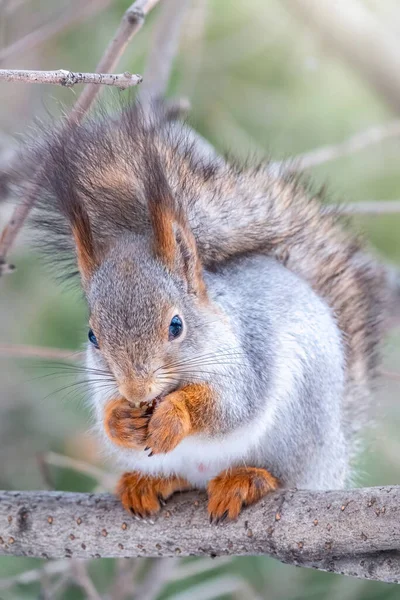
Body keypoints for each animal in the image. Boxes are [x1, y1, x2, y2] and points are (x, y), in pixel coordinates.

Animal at [21, 103, 384, 520]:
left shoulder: (248, 360)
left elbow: (228, 407)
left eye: (176, 325)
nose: (136, 390)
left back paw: (247, 479)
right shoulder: (102, 383)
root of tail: (333, 462)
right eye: (92, 336)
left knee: (280, 474)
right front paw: (121, 420)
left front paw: (173, 417)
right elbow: (105, 412)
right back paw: (147, 483)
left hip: (296, 432)